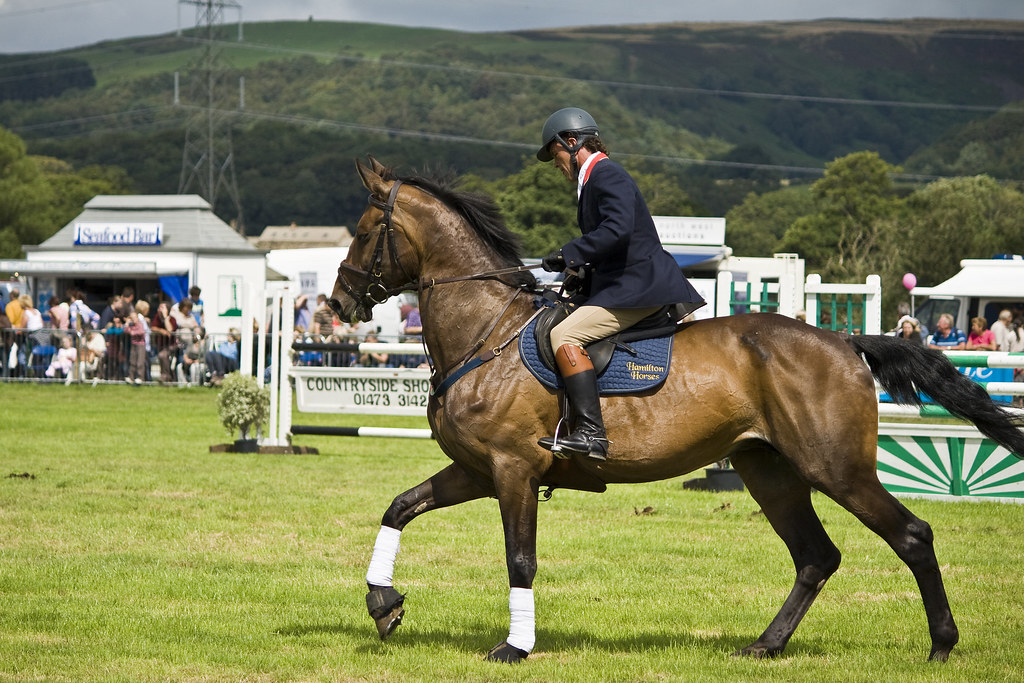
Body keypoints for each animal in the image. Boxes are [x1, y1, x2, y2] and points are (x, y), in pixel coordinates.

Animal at [329, 156, 1024, 664]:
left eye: (362, 233)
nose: (339, 303)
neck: (485, 331)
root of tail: (845, 340)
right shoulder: (478, 470)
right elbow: (399, 507)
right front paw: (383, 604)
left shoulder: (512, 471)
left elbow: (519, 559)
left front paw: (514, 648)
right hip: (770, 470)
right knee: (816, 556)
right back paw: (766, 646)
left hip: (835, 469)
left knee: (910, 535)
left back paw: (941, 646)